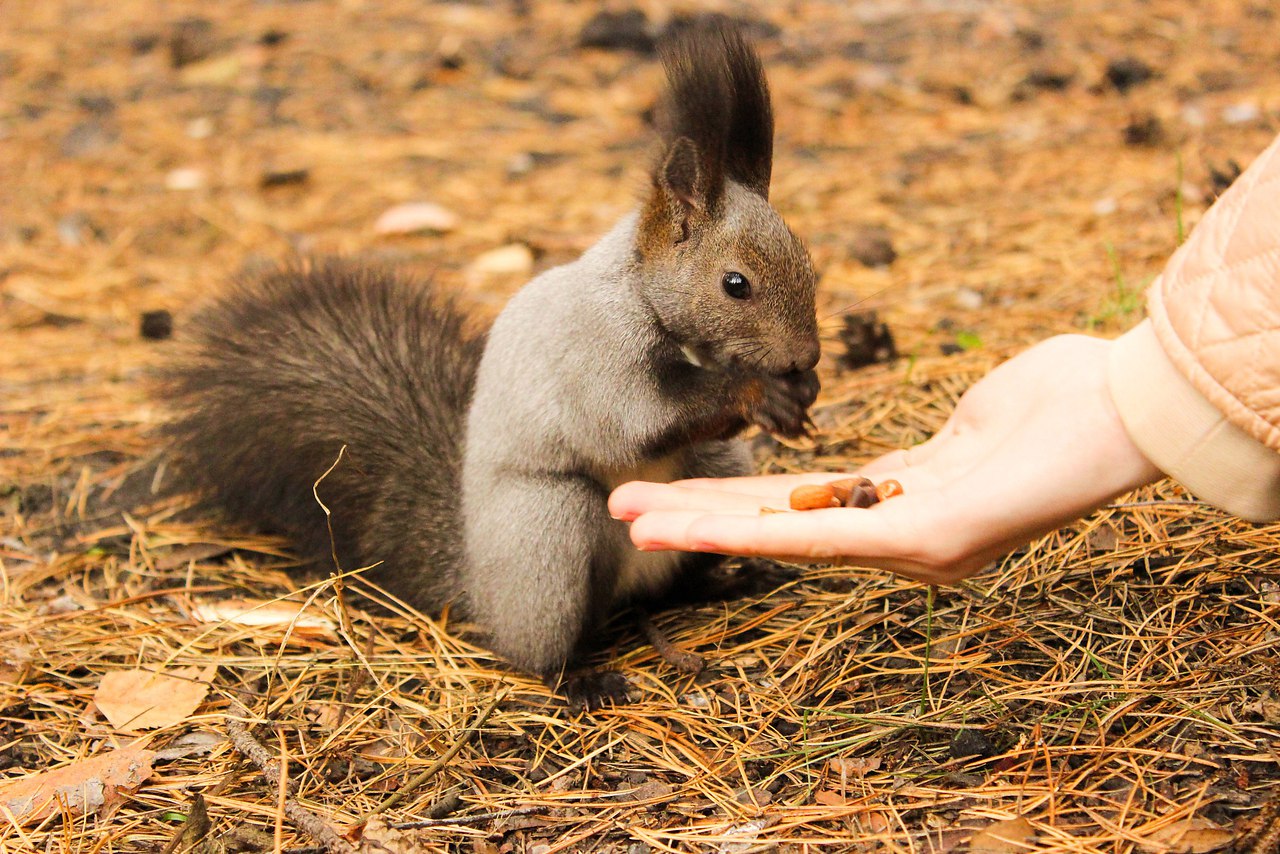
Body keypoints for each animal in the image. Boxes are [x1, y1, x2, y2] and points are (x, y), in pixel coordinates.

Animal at [162, 23, 819, 706]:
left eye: (806, 259)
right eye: (735, 284)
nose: (807, 356)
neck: (642, 292)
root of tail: (475, 578)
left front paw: (799, 392)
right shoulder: (593, 351)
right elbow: (627, 420)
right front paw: (757, 392)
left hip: (713, 468)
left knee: (675, 582)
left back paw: (727, 579)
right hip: (549, 531)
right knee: (539, 646)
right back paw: (581, 678)